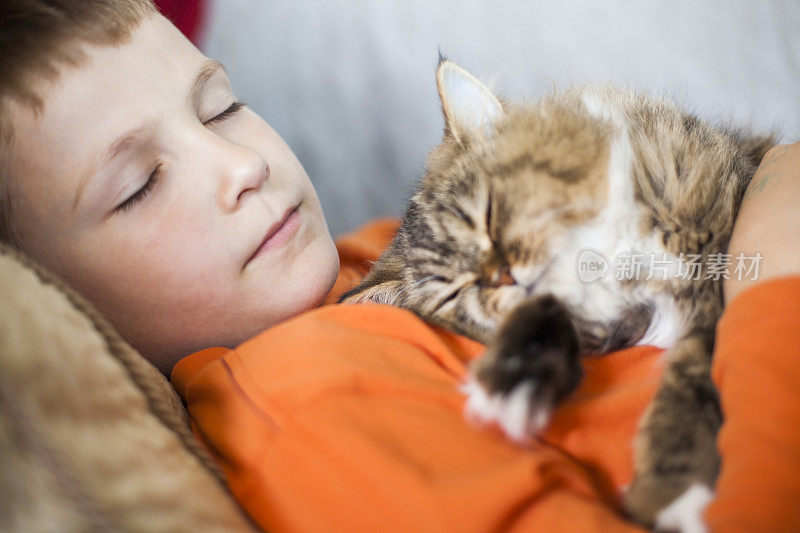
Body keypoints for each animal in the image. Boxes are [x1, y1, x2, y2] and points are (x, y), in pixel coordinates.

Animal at [340, 58, 776, 528]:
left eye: (489, 215)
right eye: (454, 293)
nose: (503, 277)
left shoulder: (715, 274)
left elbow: (692, 381)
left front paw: (673, 496)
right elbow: (545, 324)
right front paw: (513, 381)